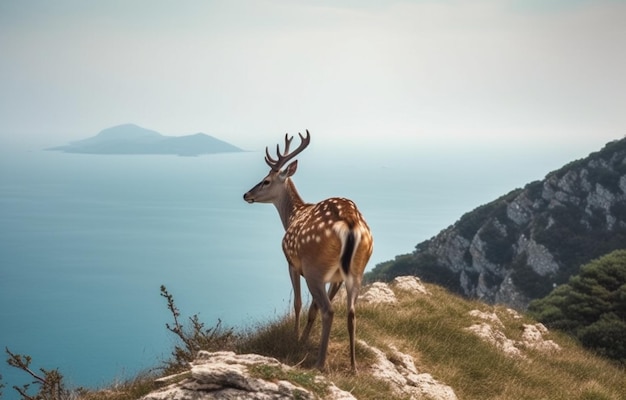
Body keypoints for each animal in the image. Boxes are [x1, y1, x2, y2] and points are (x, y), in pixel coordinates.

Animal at [243, 131, 370, 372]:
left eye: (266, 181)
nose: (246, 194)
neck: (293, 215)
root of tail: (350, 222)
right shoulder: (336, 277)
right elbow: (312, 308)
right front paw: (303, 339)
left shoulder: (292, 263)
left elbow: (298, 303)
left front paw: (295, 339)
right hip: (357, 269)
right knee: (350, 312)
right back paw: (353, 366)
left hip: (314, 268)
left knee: (329, 310)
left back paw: (319, 364)